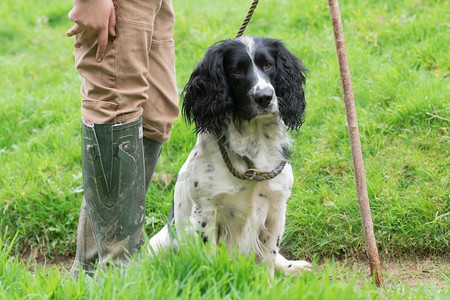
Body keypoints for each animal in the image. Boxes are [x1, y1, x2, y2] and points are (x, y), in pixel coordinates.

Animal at [149, 35, 312, 276]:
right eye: (237, 70)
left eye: (268, 65)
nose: (264, 97)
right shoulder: (206, 212)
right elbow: (210, 258)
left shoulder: (276, 207)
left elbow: (268, 257)